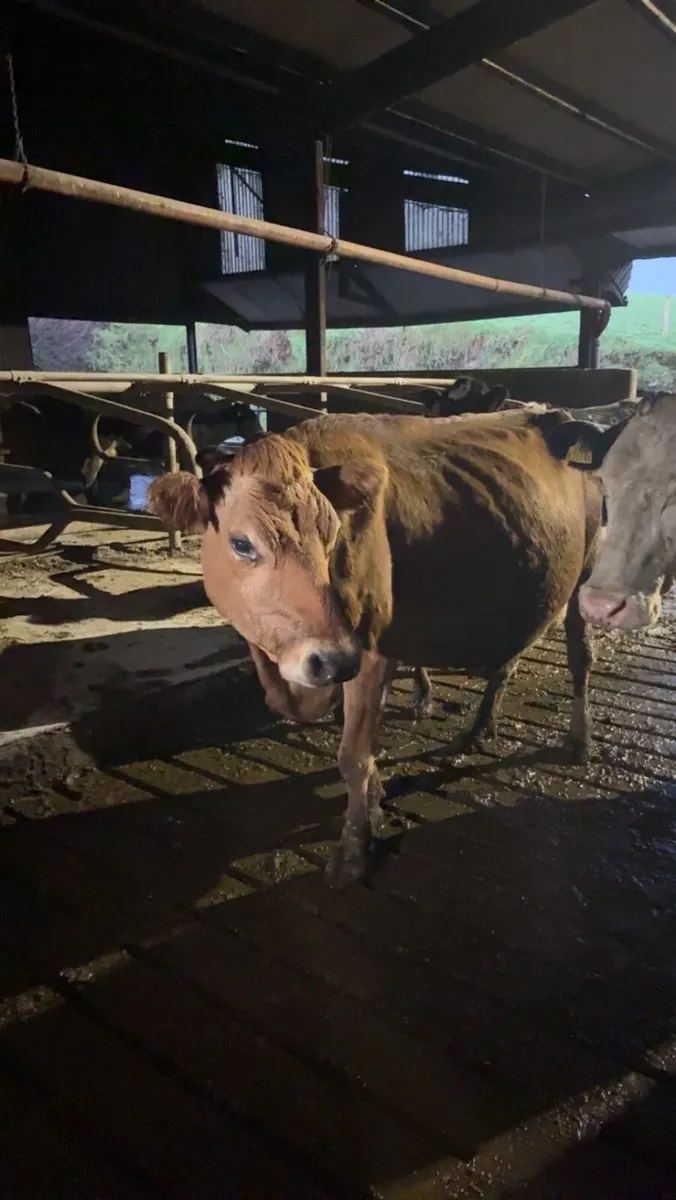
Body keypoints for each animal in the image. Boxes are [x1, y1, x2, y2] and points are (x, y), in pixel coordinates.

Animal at [148, 407, 603, 886]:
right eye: (241, 544)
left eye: (332, 535)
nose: (331, 658)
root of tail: (554, 414)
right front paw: (374, 798)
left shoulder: (370, 654)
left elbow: (353, 757)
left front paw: (354, 849)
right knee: (507, 661)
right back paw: (480, 727)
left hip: (588, 572)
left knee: (580, 657)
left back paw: (580, 740)